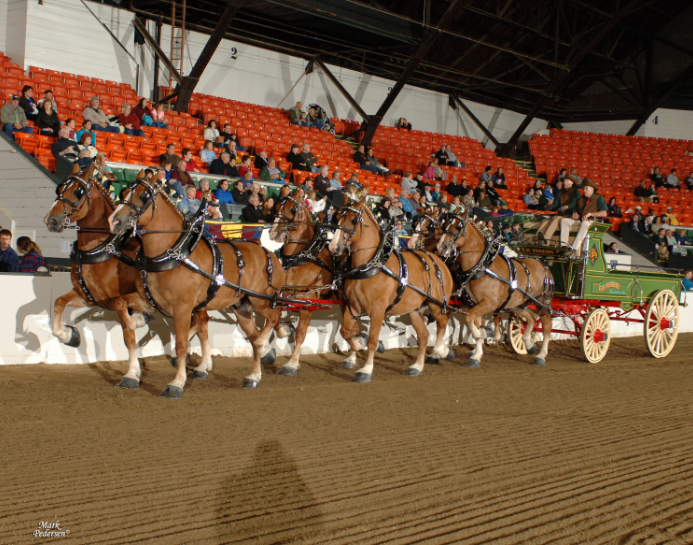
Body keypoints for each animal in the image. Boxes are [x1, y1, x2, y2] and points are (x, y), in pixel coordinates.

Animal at [44, 165, 211, 386]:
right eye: (60, 188)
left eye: (77, 192)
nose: (51, 220)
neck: (105, 249)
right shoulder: (88, 296)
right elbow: (59, 303)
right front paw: (69, 335)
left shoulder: (120, 299)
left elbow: (128, 333)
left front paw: (131, 372)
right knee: (202, 324)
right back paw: (202, 365)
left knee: (202, 322)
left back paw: (200, 364)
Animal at [108, 178, 286, 396]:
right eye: (124, 192)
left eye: (144, 196)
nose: (114, 221)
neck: (173, 254)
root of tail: (271, 255)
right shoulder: (149, 299)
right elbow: (120, 303)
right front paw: (136, 324)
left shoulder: (183, 309)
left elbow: (182, 345)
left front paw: (176, 383)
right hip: (242, 308)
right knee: (253, 336)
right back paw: (254, 375)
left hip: (261, 301)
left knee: (273, 318)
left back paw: (264, 348)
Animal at [268, 194, 336, 374]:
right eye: (276, 206)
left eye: (292, 209)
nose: (273, 232)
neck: (302, 256)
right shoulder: (285, 293)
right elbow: (275, 318)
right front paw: (285, 331)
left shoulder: (309, 301)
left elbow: (300, 333)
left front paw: (291, 364)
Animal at [330, 197, 454, 382]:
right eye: (337, 217)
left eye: (353, 220)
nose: (333, 247)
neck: (371, 265)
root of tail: (439, 262)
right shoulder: (353, 307)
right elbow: (346, 331)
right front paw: (356, 348)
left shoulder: (377, 311)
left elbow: (372, 340)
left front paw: (366, 369)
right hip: (414, 310)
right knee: (424, 335)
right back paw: (417, 366)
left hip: (436, 305)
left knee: (443, 322)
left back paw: (441, 350)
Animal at [436, 199, 556, 366]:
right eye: (445, 224)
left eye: (458, 226)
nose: (441, 246)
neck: (481, 266)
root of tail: (543, 264)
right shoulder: (474, 305)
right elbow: (474, 322)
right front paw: (477, 354)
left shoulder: (490, 303)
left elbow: (470, 321)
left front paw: (484, 335)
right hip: (518, 303)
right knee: (531, 318)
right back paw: (529, 344)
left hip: (542, 302)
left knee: (546, 325)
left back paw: (541, 355)